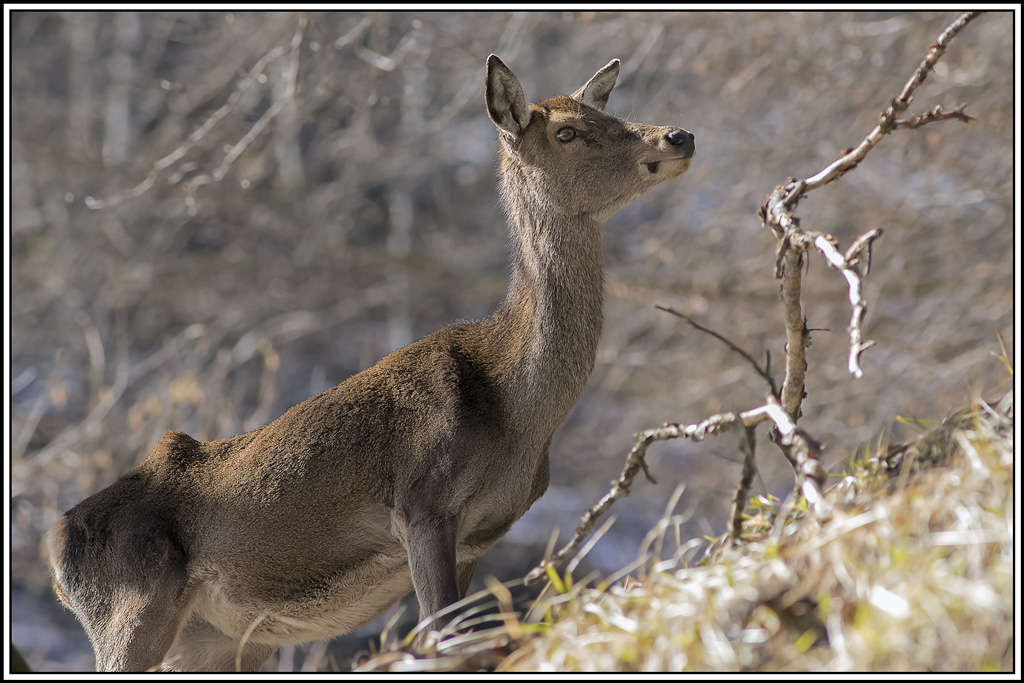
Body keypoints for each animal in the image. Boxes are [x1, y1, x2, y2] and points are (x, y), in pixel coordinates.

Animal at [45, 54, 695, 672]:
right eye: (566, 131)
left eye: (609, 113)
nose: (679, 135)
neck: (518, 412)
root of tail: (54, 549)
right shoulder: (423, 503)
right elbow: (440, 640)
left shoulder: (476, 538)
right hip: (128, 613)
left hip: (220, 641)